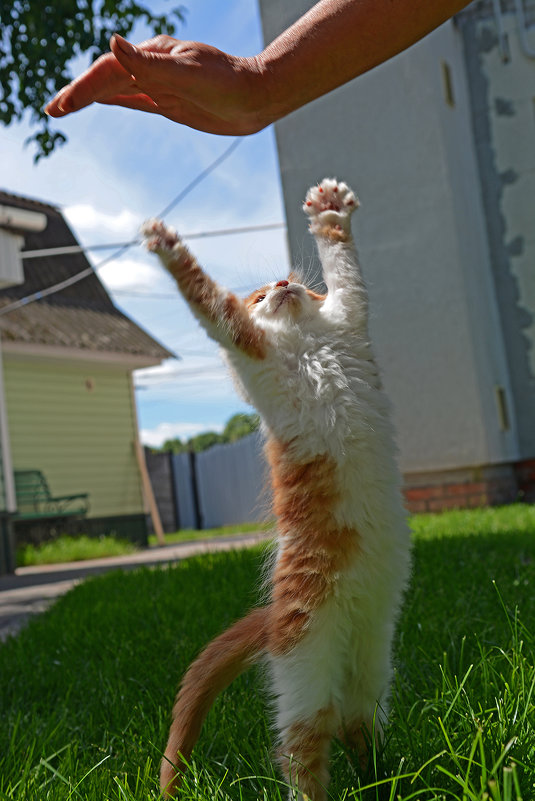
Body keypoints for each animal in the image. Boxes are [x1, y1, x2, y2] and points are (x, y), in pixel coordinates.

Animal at [142, 178, 410, 796]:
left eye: (291, 284)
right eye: (261, 294)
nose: (284, 286)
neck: (307, 344)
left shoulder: (349, 315)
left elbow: (344, 265)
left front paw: (330, 212)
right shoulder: (248, 349)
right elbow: (209, 301)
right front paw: (170, 248)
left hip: (370, 664)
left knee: (357, 724)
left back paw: (380, 779)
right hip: (307, 657)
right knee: (302, 747)